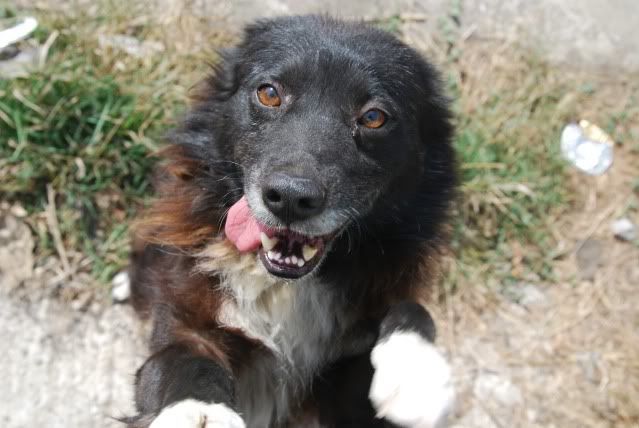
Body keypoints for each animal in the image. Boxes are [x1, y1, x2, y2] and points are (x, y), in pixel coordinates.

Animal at [126, 15, 456, 428]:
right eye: (269, 93)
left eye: (374, 117)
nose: (289, 199)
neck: (285, 286)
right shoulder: (183, 318)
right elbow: (181, 359)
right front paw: (200, 410)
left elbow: (413, 308)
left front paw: (416, 372)